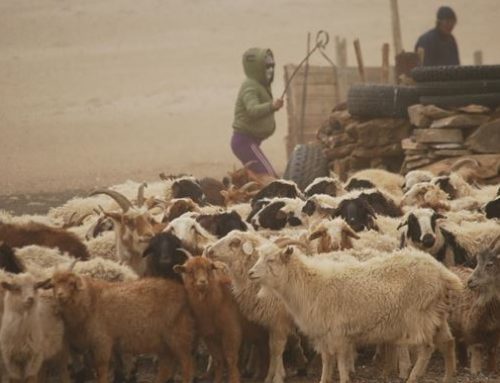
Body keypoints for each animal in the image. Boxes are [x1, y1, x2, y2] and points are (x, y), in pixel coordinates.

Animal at [49, 270, 195, 383]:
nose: (60, 295)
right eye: (53, 285)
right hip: (163, 342)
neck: (90, 301)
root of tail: (182, 291)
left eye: (71, 283)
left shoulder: (102, 341)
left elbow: (102, 369)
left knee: (187, 363)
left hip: (178, 335)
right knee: (166, 367)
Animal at [204, 232, 306, 383]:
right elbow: (272, 347)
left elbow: (277, 349)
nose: (210, 251)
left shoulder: (279, 321)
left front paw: (277, 376)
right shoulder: (272, 322)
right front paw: (270, 375)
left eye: (234, 242)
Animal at [249, 246, 460, 383]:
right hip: (436, 314)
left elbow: (341, 364)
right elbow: (327, 362)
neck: (310, 285)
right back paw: (448, 378)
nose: (250, 273)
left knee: (427, 347)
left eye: (271, 260)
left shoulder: (338, 334)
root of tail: (442, 272)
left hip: (418, 315)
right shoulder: (324, 334)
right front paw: (324, 380)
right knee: (448, 342)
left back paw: (413, 377)